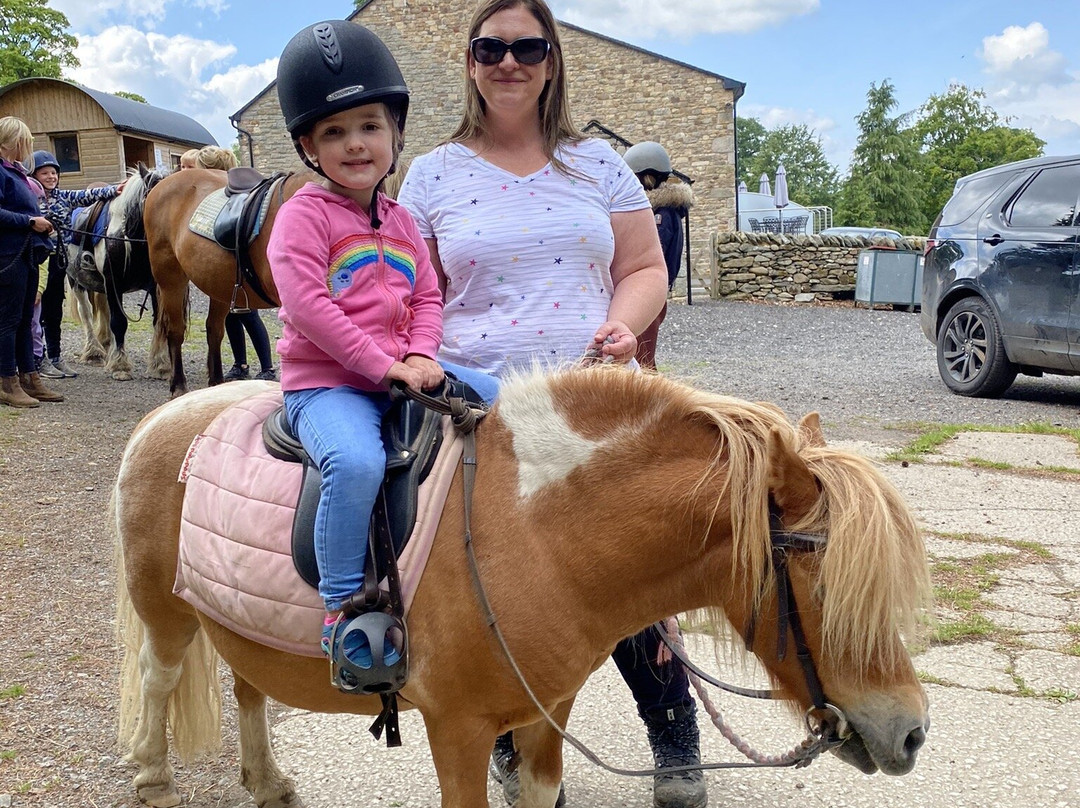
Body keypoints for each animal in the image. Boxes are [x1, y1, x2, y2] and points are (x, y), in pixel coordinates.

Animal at [113, 365, 933, 808]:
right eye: (825, 587)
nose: (913, 732)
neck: (532, 532)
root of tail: (165, 416)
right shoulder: (457, 728)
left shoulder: (544, 714)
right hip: (164, 609)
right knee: (158, 676)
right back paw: (152, 776)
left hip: (234, 619)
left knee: (247, 686)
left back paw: (267, 780)